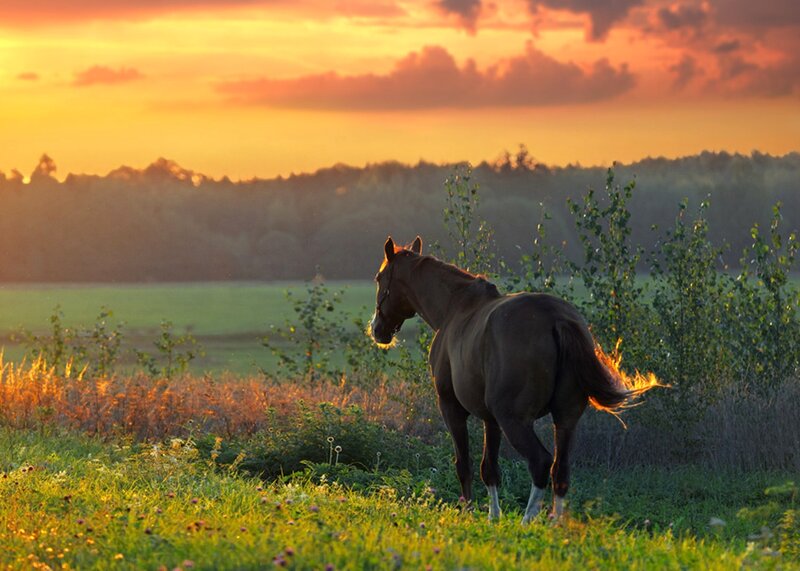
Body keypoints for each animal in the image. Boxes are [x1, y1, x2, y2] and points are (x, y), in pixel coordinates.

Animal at [370, 236, 660, 522]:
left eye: (379, 277)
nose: (376, 329)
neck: (456, 308)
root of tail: (557, 319)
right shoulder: (490, 419)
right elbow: (490, 468)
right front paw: (493, 517)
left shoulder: (452, 408)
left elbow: (464, 464)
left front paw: (470, 512)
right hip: (565, 419)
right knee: (560, 471)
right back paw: (554, 523)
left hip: (515, 420)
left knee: (541, 462)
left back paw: (528, 520)